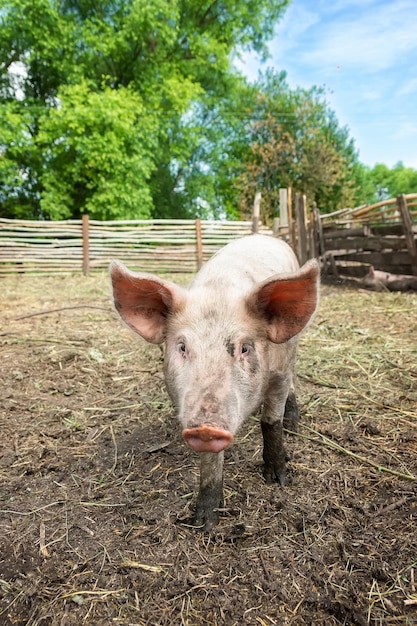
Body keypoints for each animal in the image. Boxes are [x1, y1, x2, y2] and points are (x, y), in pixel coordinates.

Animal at [110, 234, 318, 528]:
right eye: (182, 347)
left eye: (245, 348)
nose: (206, 427)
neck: (220, 290)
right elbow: (210, 460)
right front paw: (204, 521)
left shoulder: (278, 373)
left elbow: (270, 422)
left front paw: (278, 479)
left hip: (293, 346)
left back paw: (293, 425)